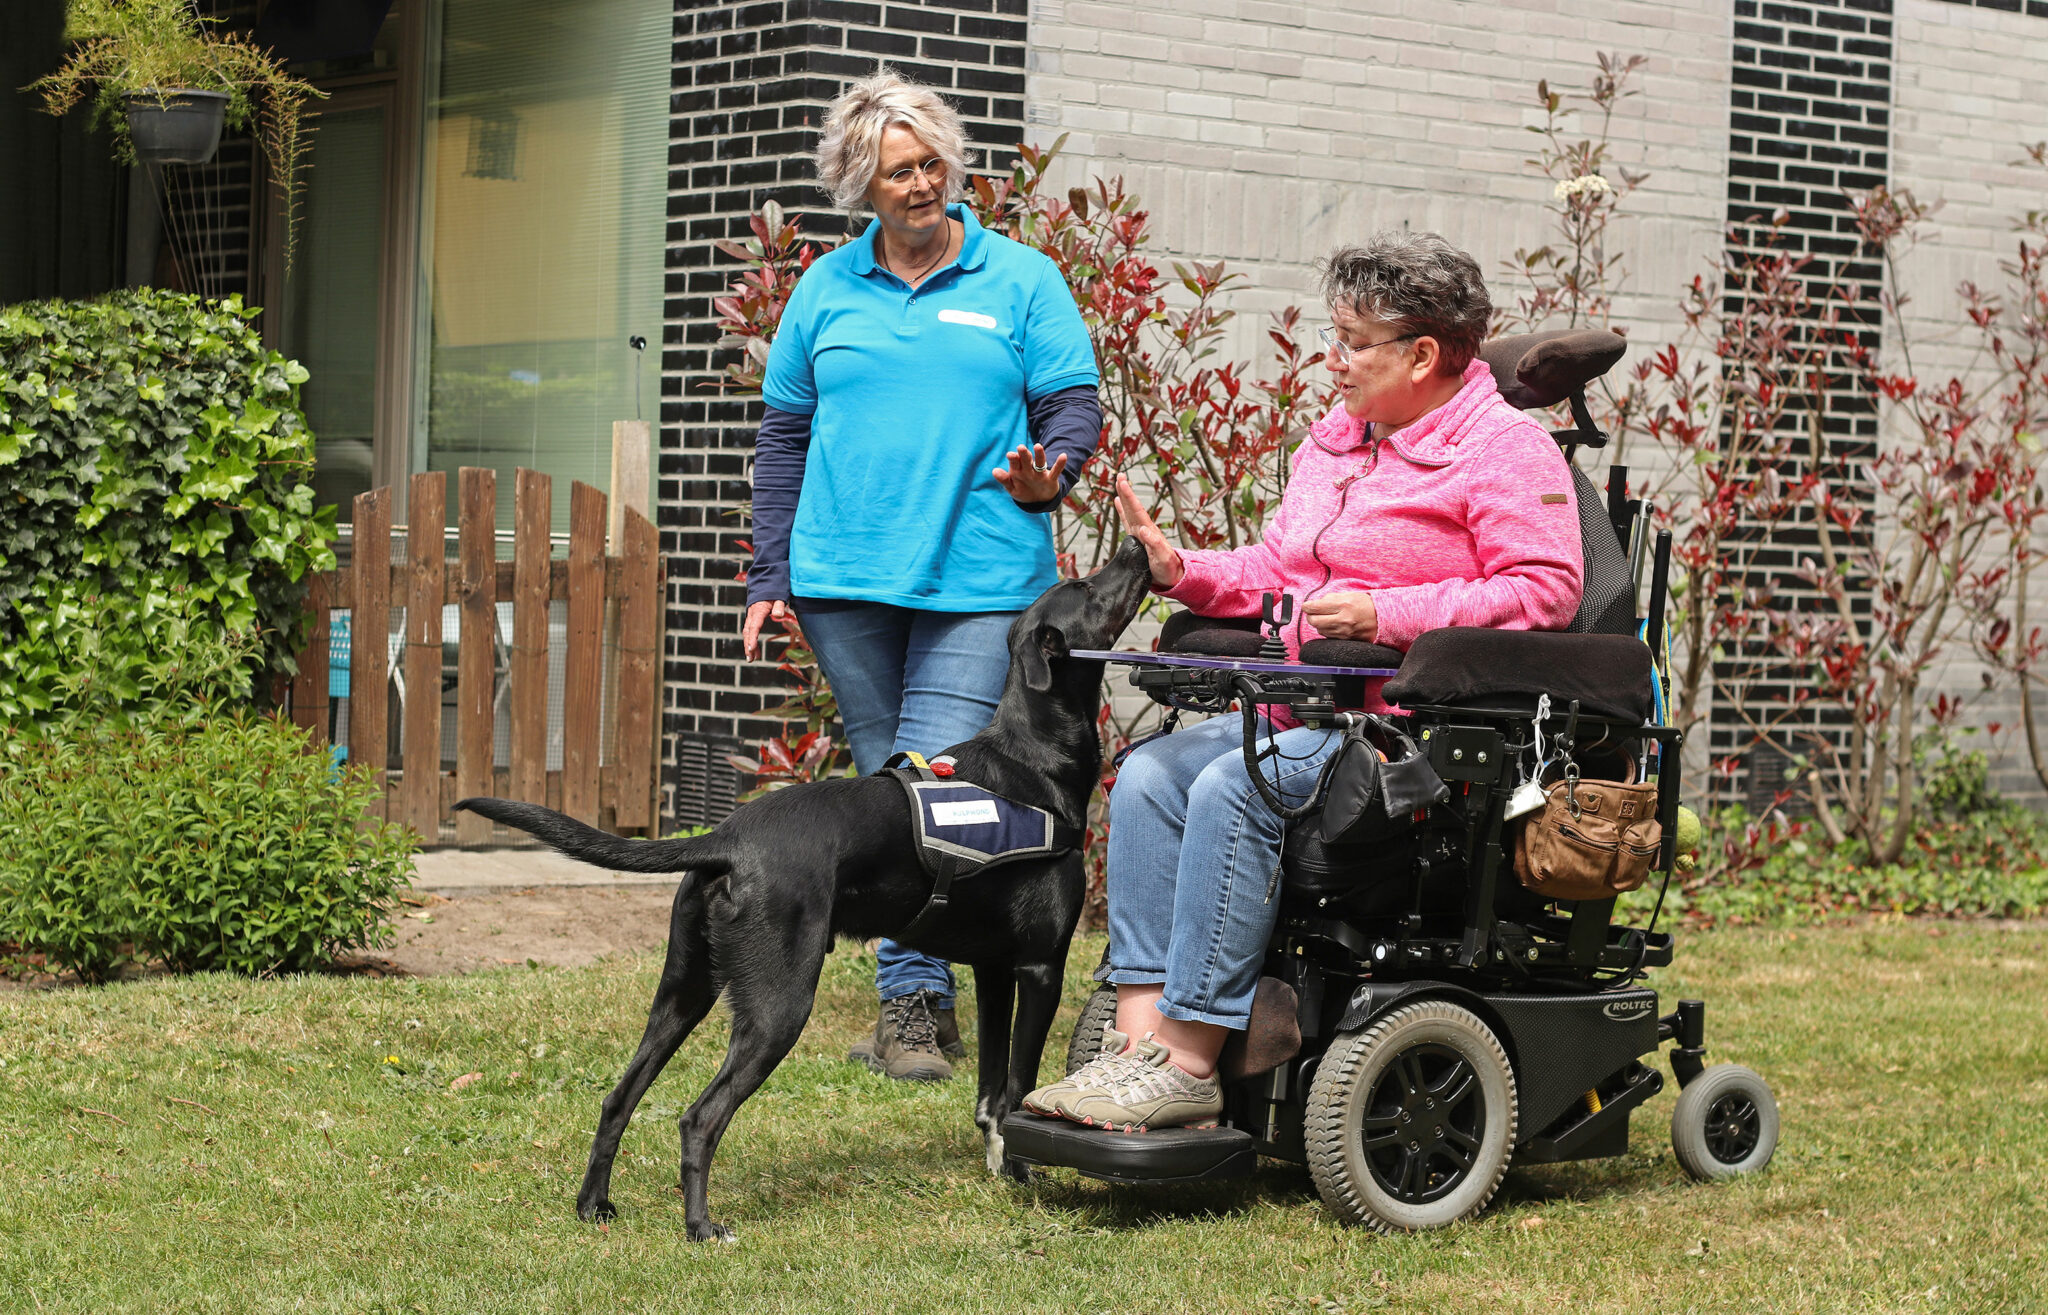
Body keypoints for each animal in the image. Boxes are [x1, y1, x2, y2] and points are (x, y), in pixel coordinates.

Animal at [460, 528, 1155, 1228]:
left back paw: (594, 1204)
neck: (1033, 758)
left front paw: (1002, 1168)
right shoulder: (1041, 966)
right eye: (1087, 587)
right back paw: (702, 1228)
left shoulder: (992, 970)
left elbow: (991, 1094)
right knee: (698, 1118)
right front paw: (1024, 1176)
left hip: (684, 991)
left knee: (618, 1097)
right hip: (779, 1003)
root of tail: (727, 838)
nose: (1134, 543)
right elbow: (1017, 1088)